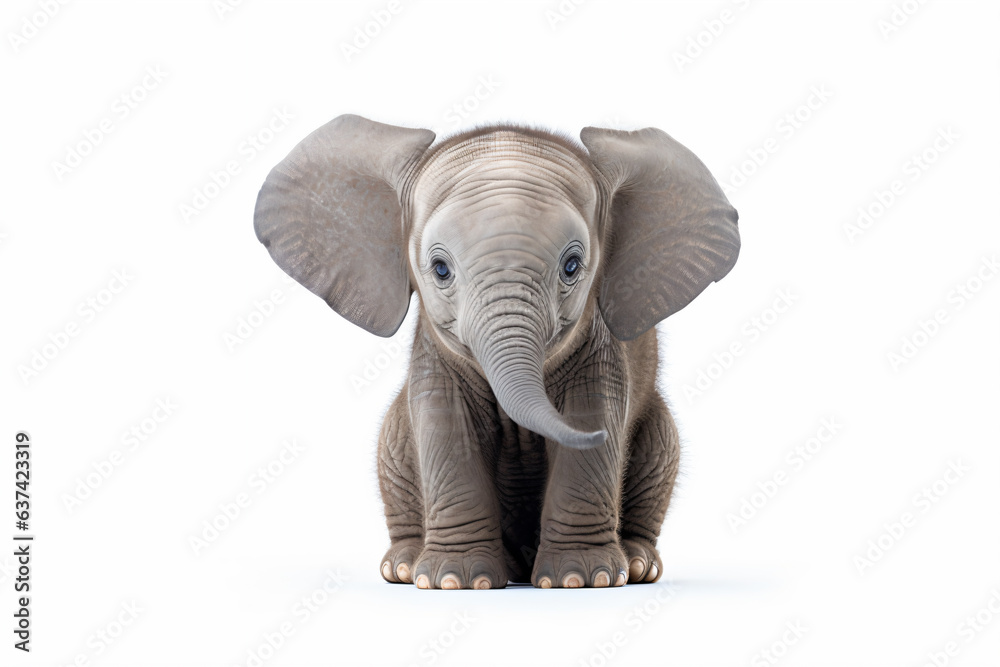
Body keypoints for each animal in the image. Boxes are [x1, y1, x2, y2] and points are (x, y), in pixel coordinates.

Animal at [254, 114, 740, 589]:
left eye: (571, 266)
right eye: (440, 269)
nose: (605, 437)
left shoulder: (599, 348)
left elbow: (591, 410)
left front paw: (585, 579)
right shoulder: (435, 355)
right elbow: (446, 424)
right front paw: (456, 580)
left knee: (661, 443)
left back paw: (637, 566)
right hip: (395, 442)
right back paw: (406, 567)